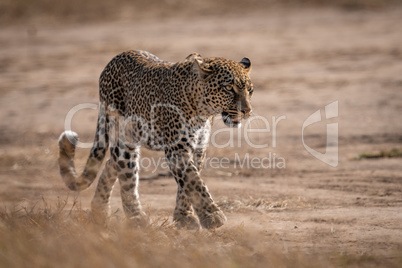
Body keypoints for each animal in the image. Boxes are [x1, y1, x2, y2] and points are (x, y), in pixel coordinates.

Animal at [58, 49, 253, 228]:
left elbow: (188, 183)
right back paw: (136, 217)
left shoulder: (198, 148)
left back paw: (100, 210)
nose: (247, 111)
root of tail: (113, 60)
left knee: (111, 163)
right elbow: (194, 182)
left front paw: (184, 216)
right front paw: (212, 215)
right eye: (228, 88)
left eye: (249, 90)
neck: (202, 111)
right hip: (123, 138)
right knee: (126, 177)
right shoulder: (177, 149)